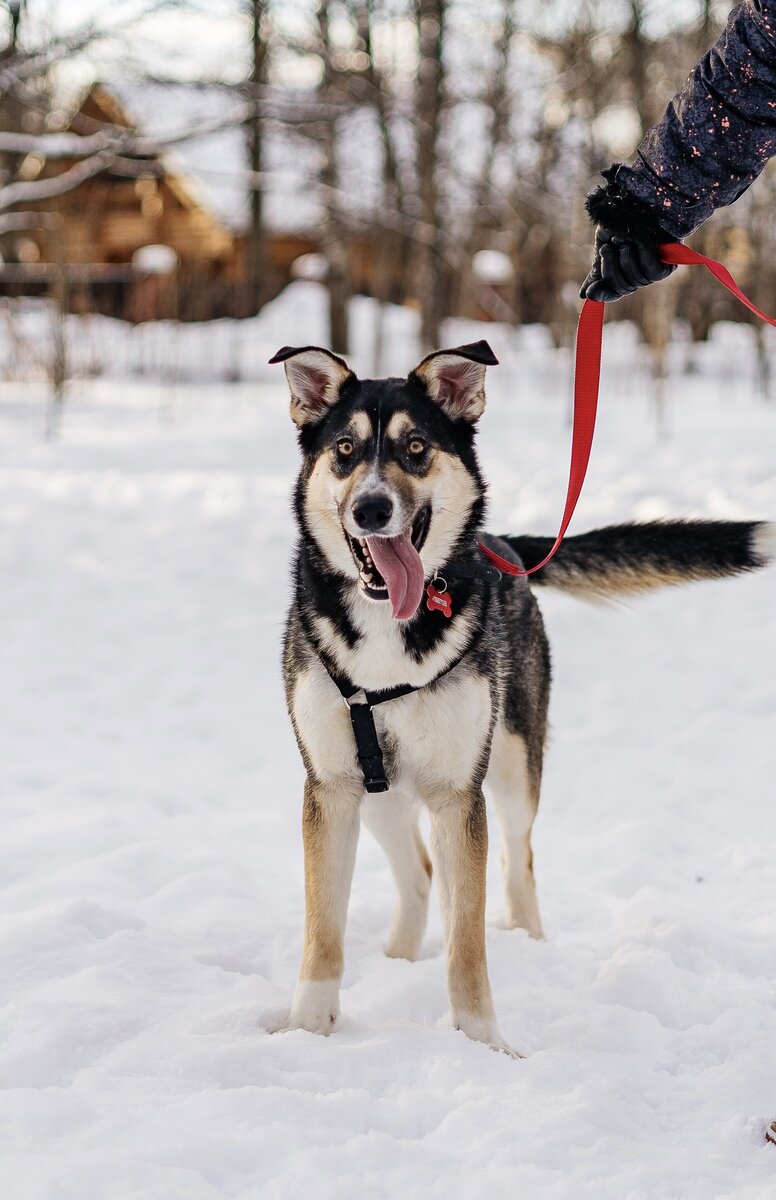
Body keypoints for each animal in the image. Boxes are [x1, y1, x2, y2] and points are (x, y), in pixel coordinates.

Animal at [269, 343, 772, 1056]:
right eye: (344, 448)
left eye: (416, 447)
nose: (370, 508)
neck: (391, 628)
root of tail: (500, 543)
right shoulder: (332, 786)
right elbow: (323, 934)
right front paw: (307, 1033)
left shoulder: (460, 793)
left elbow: (469, 943)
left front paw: (485, 1047)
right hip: (380, 794)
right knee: (421, 875)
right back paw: (398, 959)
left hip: (510, 772)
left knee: (517, 865)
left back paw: (529, 945)